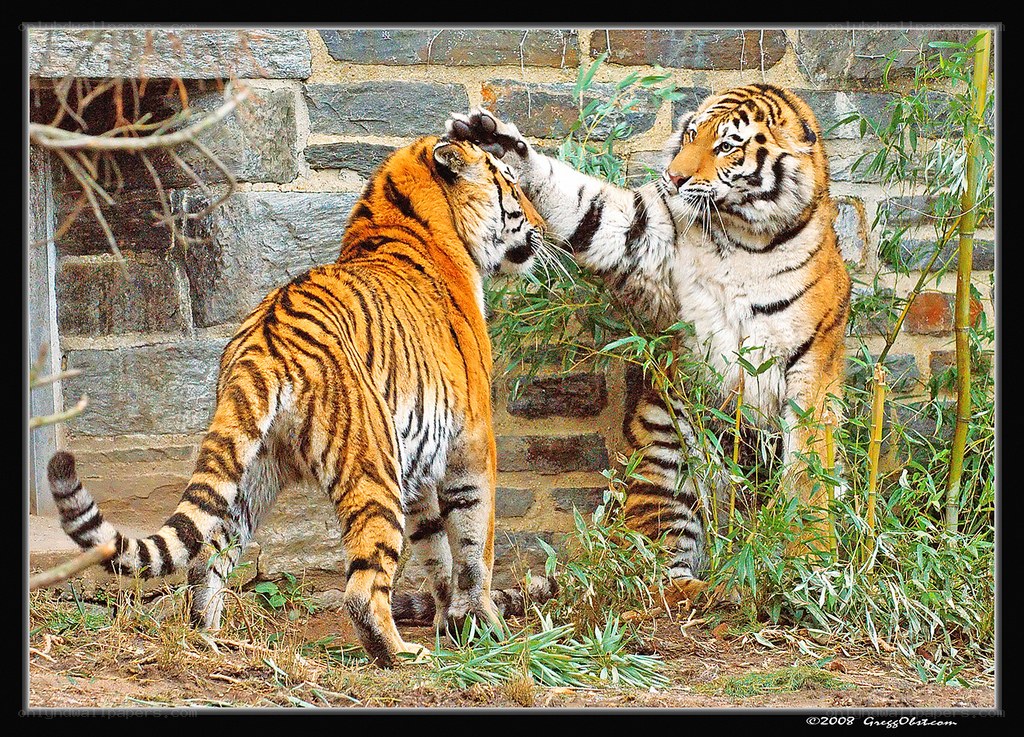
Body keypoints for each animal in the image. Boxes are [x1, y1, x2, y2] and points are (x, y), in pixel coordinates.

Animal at [45, 135, 546, 667]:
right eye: (512, 184)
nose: (541, 225)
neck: (406, 219)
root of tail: (263, 341)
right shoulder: (471, 441)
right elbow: (473, 545)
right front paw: (483, 628)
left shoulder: (421, 469)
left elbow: (436, 548)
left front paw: (451, 622)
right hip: (373, 464)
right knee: (363, 587)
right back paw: (401, 655)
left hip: (250, 475)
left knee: (206, 559)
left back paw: (211, 641)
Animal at [445, 83, 852, 599]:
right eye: (692, 134)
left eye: (727, 146)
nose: (674, 178)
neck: (745, 237)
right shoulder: (643, 231)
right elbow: (585, 205)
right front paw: (494, 141)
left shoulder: (810, 368)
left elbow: (808, 473)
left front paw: (810, 564)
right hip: (667, 461)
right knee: (652, 575)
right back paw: (720, 588)